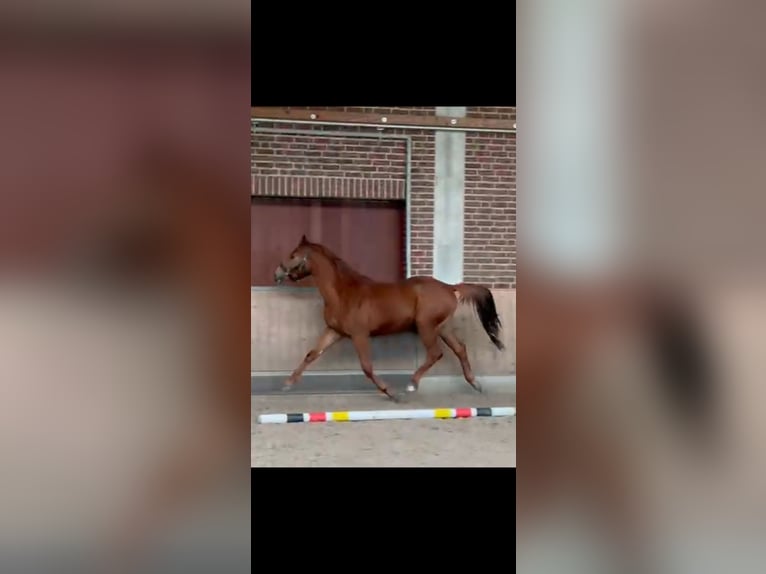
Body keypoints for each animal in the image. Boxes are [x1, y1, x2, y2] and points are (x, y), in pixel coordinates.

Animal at [274, 234, 506, 401]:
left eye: (293, 255)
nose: (277, 273)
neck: (342, 293)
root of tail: (450, 287)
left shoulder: (360, 335)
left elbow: (366, 367)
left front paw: (390, 392)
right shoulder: (334, 331)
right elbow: (311, 354)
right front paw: (287, 384)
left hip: (425, 326)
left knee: (435, 353)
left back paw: (411, 385)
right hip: (442, 327)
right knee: (460, 349)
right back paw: (475, 384)